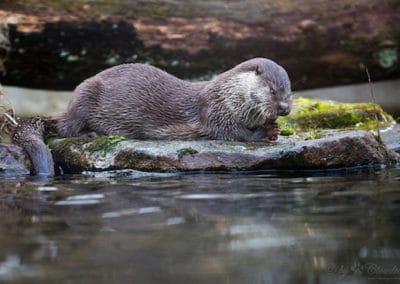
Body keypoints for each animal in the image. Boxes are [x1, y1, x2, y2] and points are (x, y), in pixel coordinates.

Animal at [12, 57, 292, 175]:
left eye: (289, 91)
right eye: (272, 90)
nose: (285, 108)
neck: (229, 95)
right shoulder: (215, 112)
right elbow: (232, 133)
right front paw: (267, 131)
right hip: (84, 96)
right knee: (68, 128)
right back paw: (91, 133)